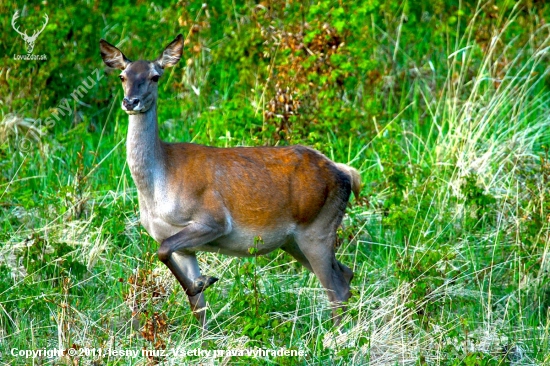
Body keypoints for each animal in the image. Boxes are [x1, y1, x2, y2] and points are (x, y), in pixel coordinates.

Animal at [100, 33, 362, 326]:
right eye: (122, 76)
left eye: (155, 76)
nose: (130, 102)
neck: (158, 188)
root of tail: (345, 173)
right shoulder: (181, 246)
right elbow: (196, 305)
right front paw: (202, 312)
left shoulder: (213, 220)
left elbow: (163, 251)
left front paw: (204, 281)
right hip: (294, 240)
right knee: (346, 274)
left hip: (317, 227)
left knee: (336, 287)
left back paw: (336, 335)